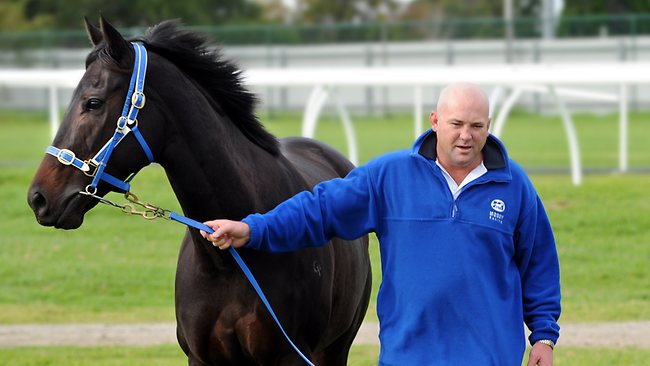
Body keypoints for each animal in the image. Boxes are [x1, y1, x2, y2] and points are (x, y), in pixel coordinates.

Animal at [26, 17, 370, 366]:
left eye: (92, 103)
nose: (38, 198)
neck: (231, 264)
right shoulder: (201, 357)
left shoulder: (293, 356)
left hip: (336, 348)